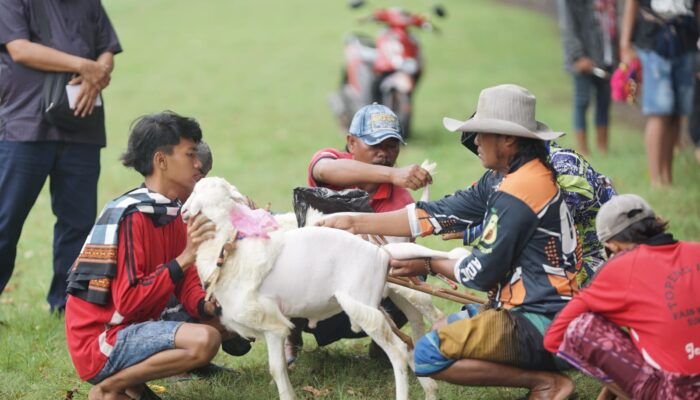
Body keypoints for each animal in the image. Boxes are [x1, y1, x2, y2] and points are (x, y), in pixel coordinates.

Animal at [180, 177, 438, 400]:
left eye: (198, 191)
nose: (183, 211)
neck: (228, 249)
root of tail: (381, 253)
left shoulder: (271, 324)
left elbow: (275, 369)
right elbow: (281, 368)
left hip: (364, 305)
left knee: (401, 348)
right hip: (381, 301)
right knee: (409, 340)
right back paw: (430, 390)